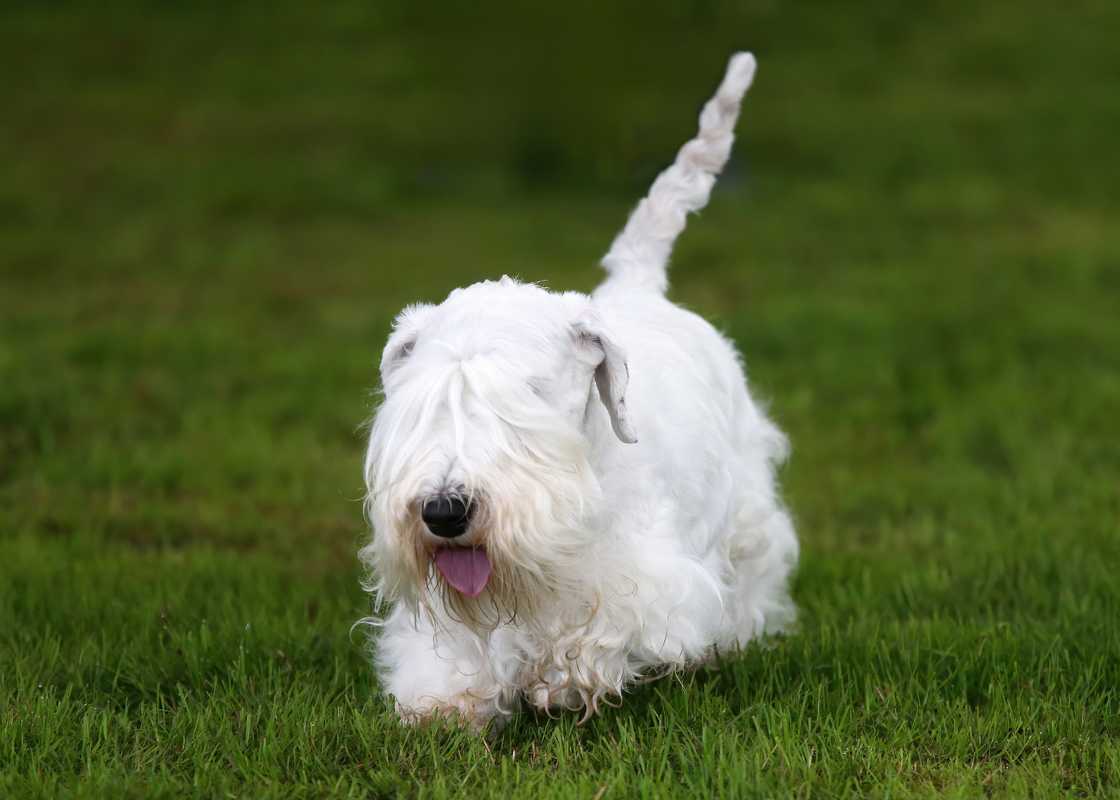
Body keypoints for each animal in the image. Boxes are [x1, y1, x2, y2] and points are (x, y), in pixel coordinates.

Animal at [358, 52, 797, 726]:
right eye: (424, 405)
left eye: (528, 394)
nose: (444, 512)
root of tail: (639, 286)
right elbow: (458, 646)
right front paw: (445, 699)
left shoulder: (640, 579)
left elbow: (601, 627)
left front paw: (563, 680)